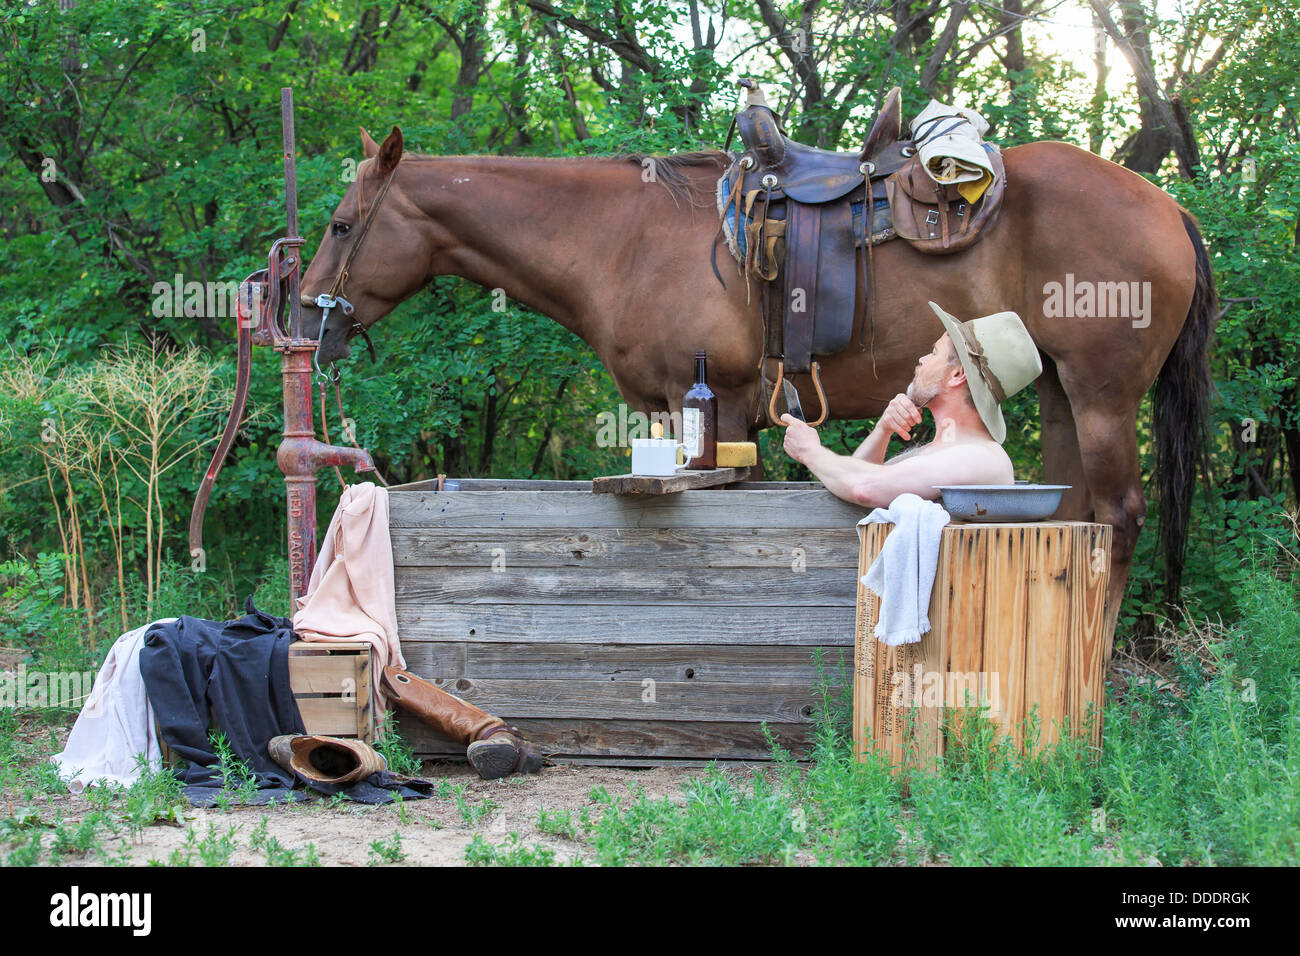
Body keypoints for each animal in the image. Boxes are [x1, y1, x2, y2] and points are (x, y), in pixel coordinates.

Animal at [299, 123, 1211, 639]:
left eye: (343, 226)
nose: (308, 320)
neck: (622, 239)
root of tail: (1169, 206)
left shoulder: (719, 402)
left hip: (1102, 396)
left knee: (1120, 516)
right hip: (1059, 391)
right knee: (1074, 510)